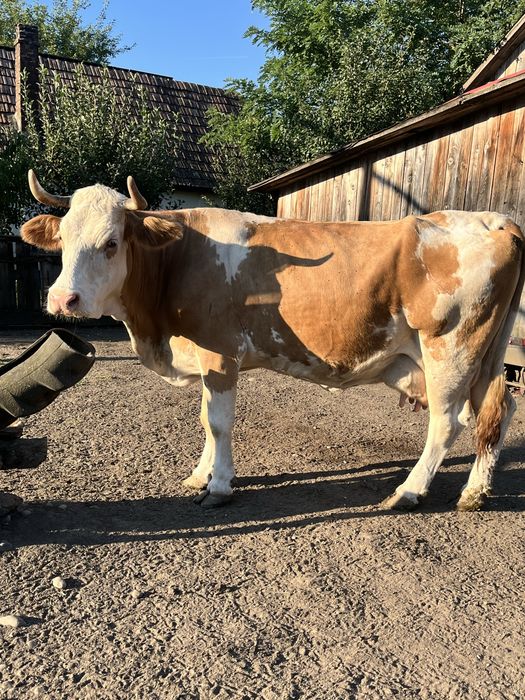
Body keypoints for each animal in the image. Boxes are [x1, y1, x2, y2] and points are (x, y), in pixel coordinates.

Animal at [21, 170, 524, 511]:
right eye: (61, 238)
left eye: (111, 242)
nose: (63, 299)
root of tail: (495, 220)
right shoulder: (205, 358)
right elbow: (205, 421)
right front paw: (200, 475)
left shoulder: (220, 352)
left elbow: (219, 423)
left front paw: (219, 487)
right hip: (484, 354)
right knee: (497, 410)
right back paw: (474, 492)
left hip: (450, 349)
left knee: (448, 421)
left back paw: (407, 491)